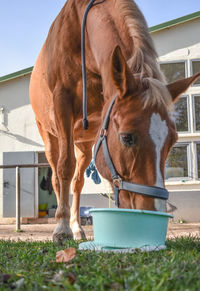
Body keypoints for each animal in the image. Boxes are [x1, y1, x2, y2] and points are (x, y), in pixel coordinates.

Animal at [28, 0, 199, 243]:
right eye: (127, 137)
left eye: (172, 141)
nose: (153, 211)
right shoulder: (62, 103)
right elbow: (64, 167)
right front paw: (61, 228)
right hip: (50, 136)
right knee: (58, 175)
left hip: (85, 144)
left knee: (78, 182)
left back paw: (77, 227)